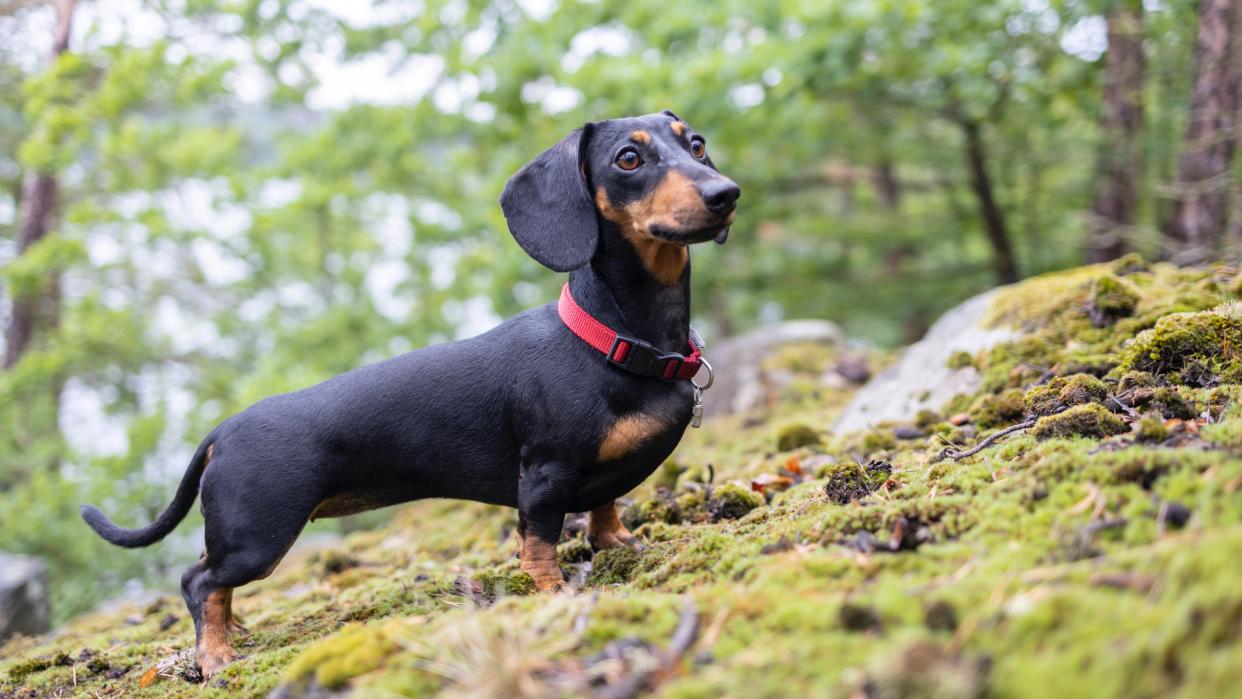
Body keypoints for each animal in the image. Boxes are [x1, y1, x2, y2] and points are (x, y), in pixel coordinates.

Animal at [82, 110, 740, 680]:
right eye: (629, 158)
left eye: (697, 144)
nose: (726, 193)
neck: (613, 341)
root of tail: (222, 431)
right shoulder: (545, 477)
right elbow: (539, 545)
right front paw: (552, 595)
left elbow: (605, 508)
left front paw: (619, 543)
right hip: (257, 538)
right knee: (199, 582)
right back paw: (216, 655)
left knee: (209, 581)